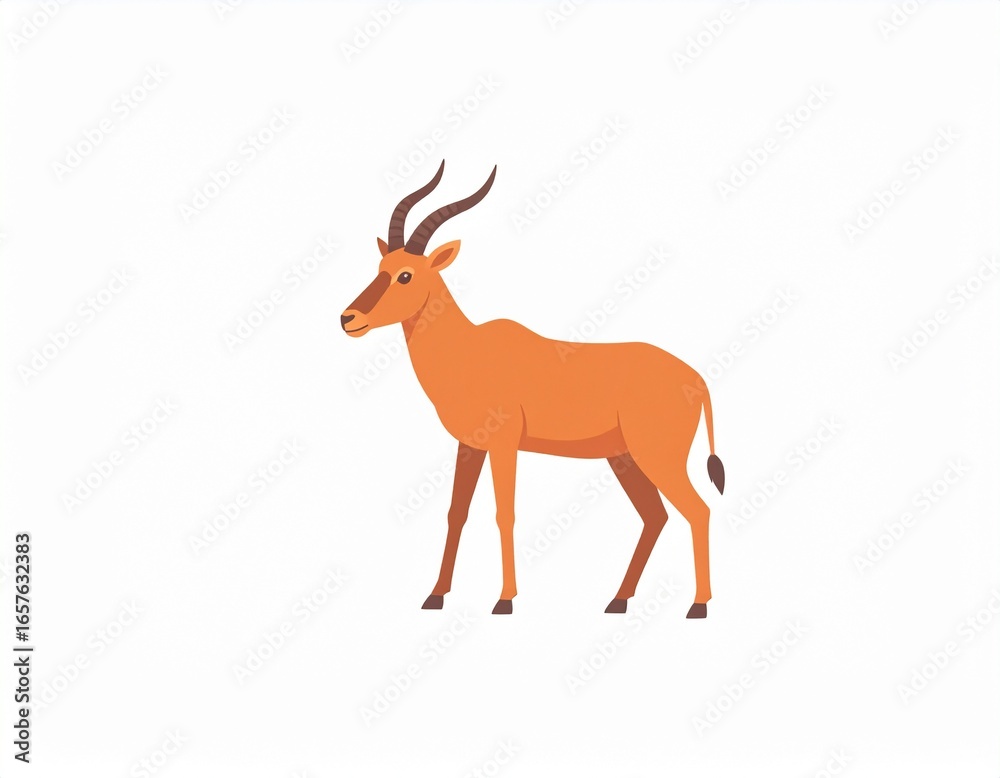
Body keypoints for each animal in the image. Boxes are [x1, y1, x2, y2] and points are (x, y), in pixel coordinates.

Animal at [342, 161, 725, 617]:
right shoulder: (469, 445)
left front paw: (504, 600)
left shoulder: (505, 444)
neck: (469, 349)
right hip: (624, 459)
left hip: (657, 458)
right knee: (656, 517)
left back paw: (697, 606)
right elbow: (456, 512)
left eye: (405, 275)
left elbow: (504, 512)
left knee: (698, 511)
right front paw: (435, 596)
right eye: (380, 267)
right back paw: (617, 601)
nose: (348, 318)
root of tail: (697, 379)